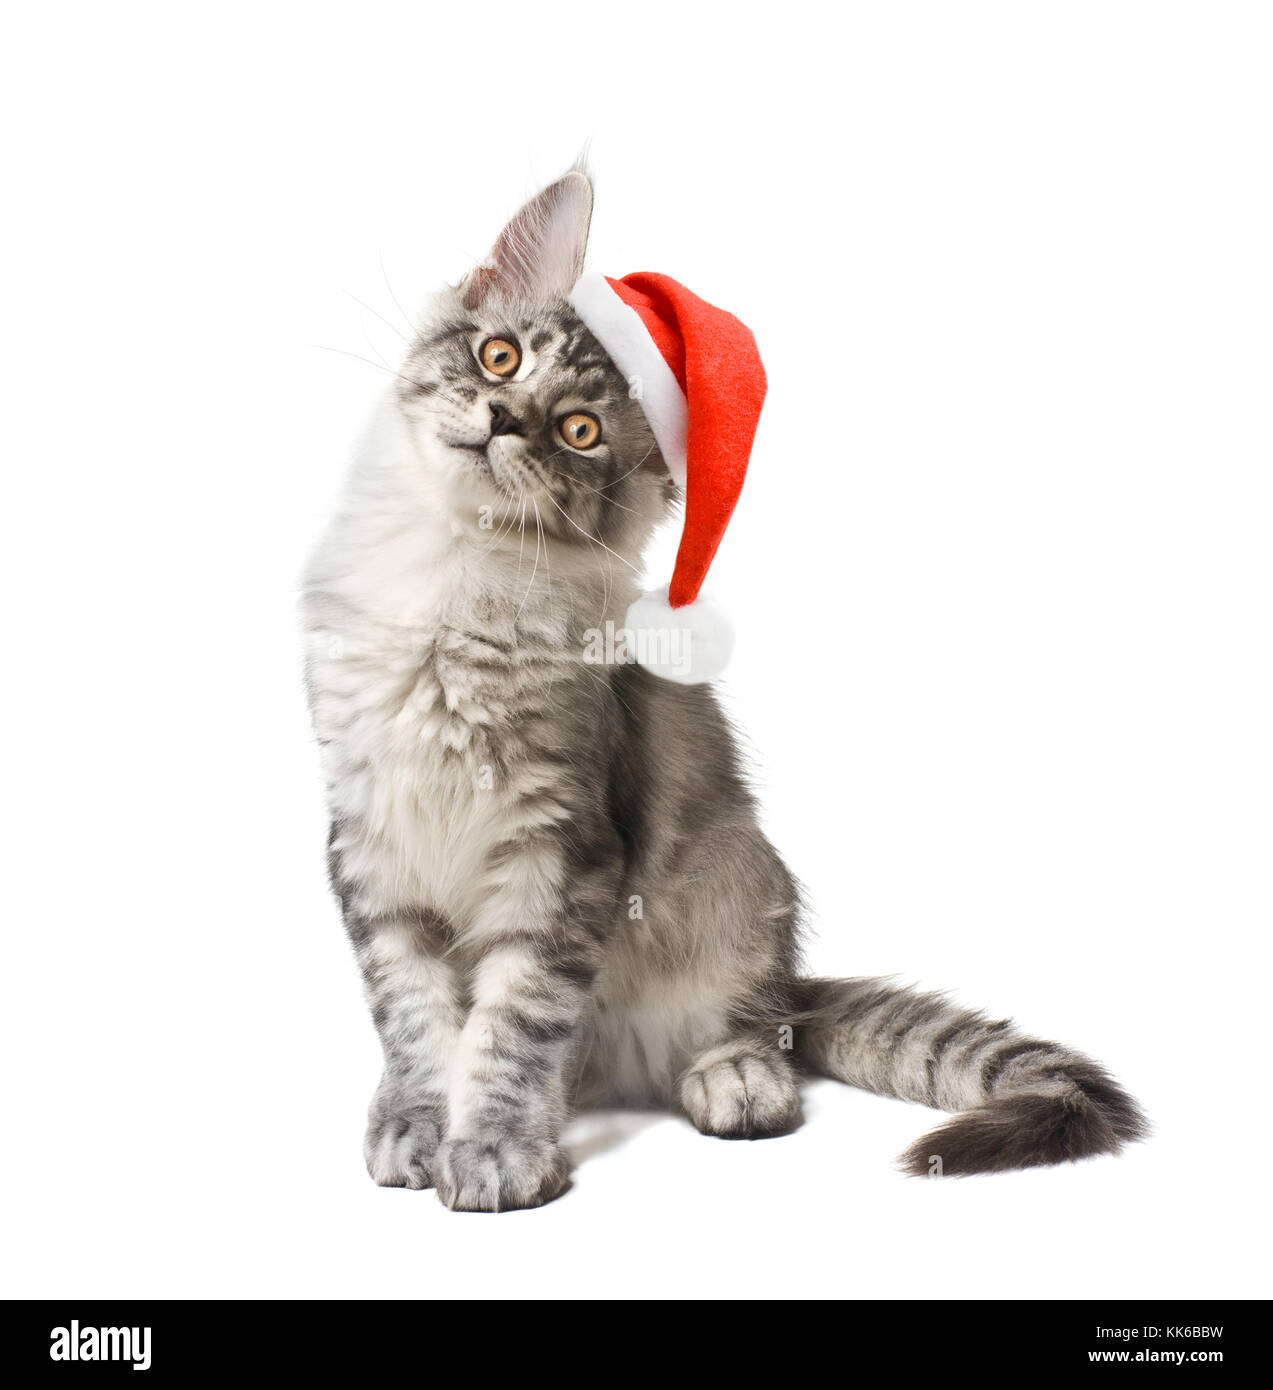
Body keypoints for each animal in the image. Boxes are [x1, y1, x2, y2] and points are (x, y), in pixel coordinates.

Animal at [302, 170, 1150, 1206]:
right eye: (499, 357)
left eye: (577, 432)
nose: (504, 420)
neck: (448, 584)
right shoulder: (369, 837)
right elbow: (414, 1013)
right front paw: (419, 1121)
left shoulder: (560, 848)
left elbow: (514, 1021)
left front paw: (496, 1145)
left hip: (739, 889)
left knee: (748, 1026)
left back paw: (735, 1080)